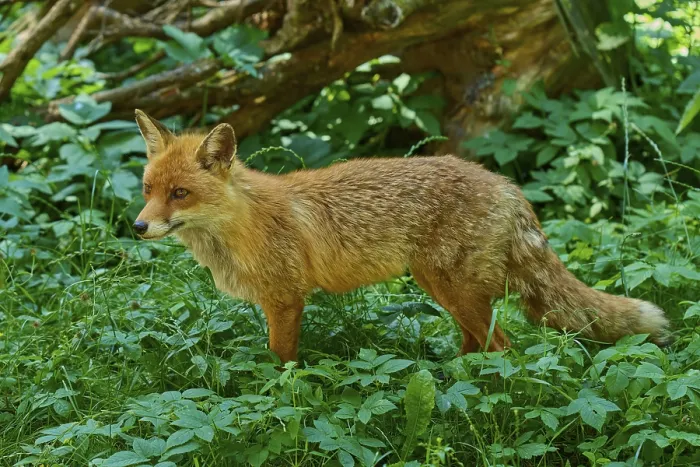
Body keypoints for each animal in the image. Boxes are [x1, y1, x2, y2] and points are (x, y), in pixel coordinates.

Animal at [132, 109, 670, 363]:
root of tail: (507, 185)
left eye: (180, 193)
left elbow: (281, 363)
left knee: (504, 348)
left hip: (455, 290)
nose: (138, 227)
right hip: (443, 289)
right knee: (477, 346)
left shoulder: (285, 300)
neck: (243, 224)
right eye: (147, 189)